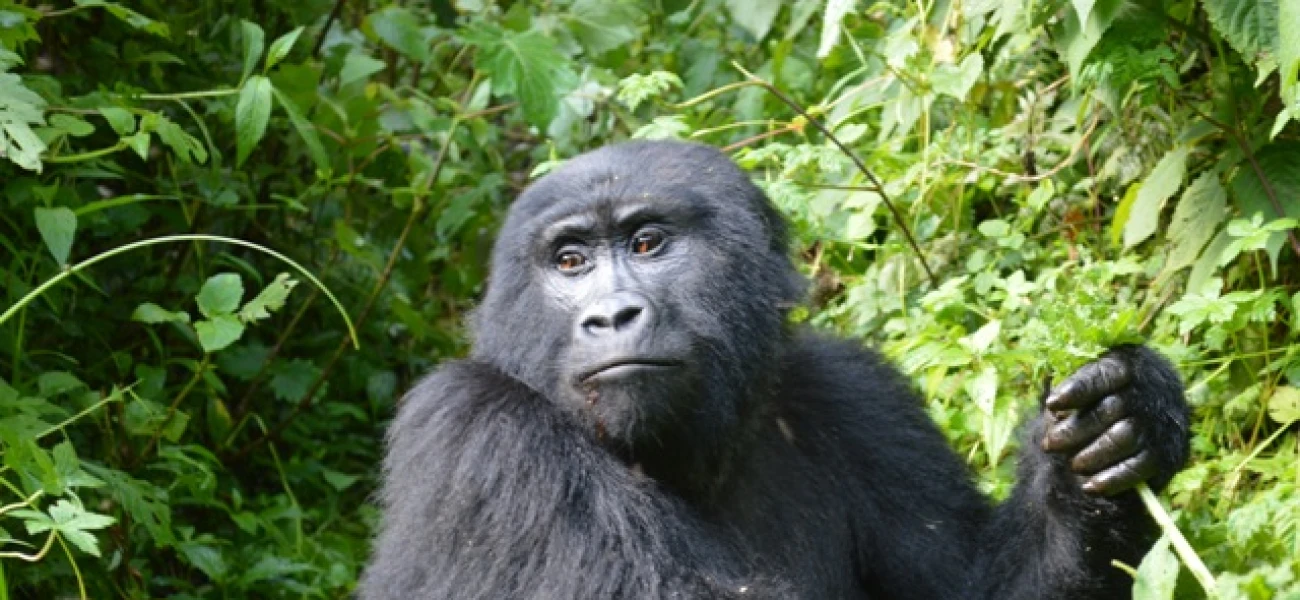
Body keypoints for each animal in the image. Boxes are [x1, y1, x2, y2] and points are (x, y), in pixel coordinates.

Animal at [361, 141, 1190, 600]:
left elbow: (973, 590)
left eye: (648, 243)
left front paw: (1122, 421)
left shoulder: (854, 393)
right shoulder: (474, 430)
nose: (611, 316)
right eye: (569, 262)